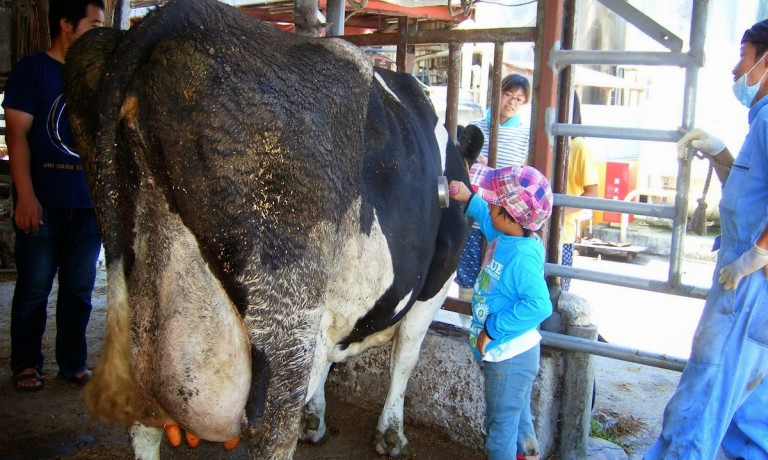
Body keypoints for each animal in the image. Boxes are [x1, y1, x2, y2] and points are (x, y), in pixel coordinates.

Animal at [64, 0, 480, 458]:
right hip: (284, 302)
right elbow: (405, 354)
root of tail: (177, 16)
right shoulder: (436, 280)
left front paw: (315, 417)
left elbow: (330, 359)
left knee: (142, 421)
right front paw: (390, 433)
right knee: (271, 424)